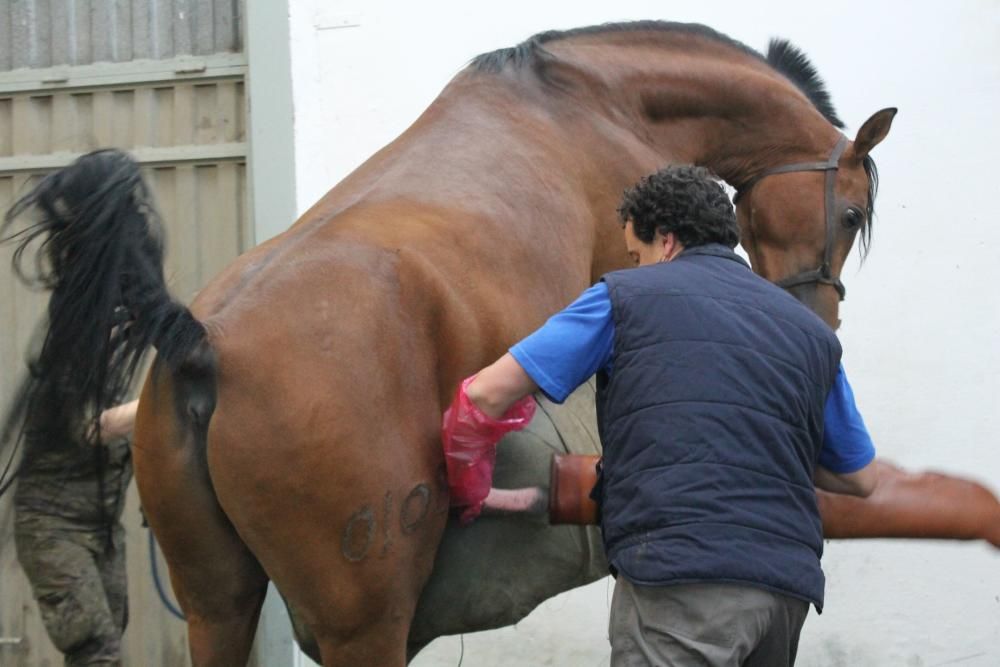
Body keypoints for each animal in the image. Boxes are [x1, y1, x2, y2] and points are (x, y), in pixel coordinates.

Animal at [3, 19, 996, 667]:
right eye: (854, 211)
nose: (819, 324)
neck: (595, 99)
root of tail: (203, 343)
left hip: (217, 600)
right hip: (363, 624)